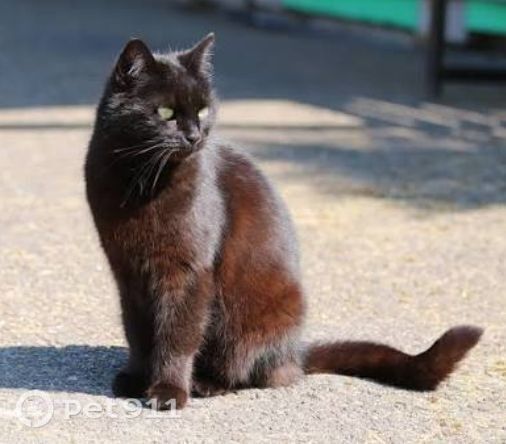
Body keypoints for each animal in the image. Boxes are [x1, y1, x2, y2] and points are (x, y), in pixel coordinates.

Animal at [85, 34, 483, 410]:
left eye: (203, 109)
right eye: (166, 111)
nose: (195, 136)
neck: (139, 180)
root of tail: (296, 353)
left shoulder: (187, 272)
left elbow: (177, 336)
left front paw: (167, 391)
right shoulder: (128, 272)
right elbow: (138, 332)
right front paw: (136, 379)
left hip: (254, 320)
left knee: (251, 370)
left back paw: (207, 383)